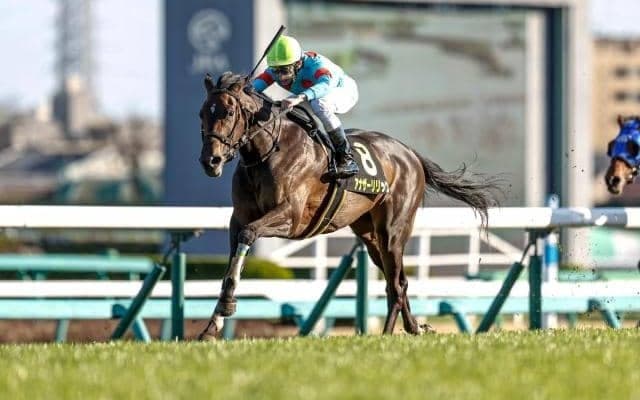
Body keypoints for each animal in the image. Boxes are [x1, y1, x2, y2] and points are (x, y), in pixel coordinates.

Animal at [196, 71, 502, 339]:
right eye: (202, 113)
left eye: (229, 113)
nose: (210, 161)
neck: (268, 153)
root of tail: (409, 153)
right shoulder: (238, 219)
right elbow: (232, 263)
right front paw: (212, 326)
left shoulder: (291, 218)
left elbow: (249, 233)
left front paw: (224, 311)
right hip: (368, 234)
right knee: (397, 281)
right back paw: (414, 327)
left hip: (392, 230)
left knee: (395, 282)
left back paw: (387, 335)